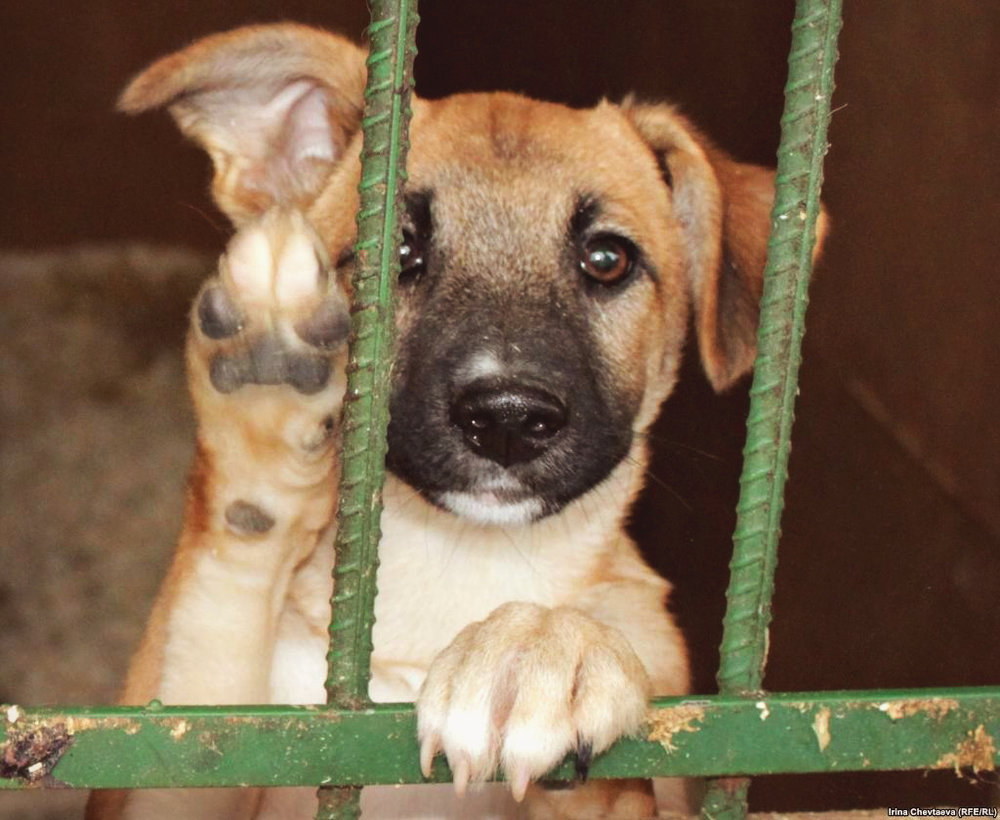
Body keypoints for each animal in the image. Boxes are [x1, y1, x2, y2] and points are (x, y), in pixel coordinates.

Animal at [86, 22, 820, 820]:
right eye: (398, 250)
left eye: (607, 258)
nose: (508, 419)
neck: (449, 570)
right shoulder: (194, 746)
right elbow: (208, 664)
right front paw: (263, 405)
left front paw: (540, 647)